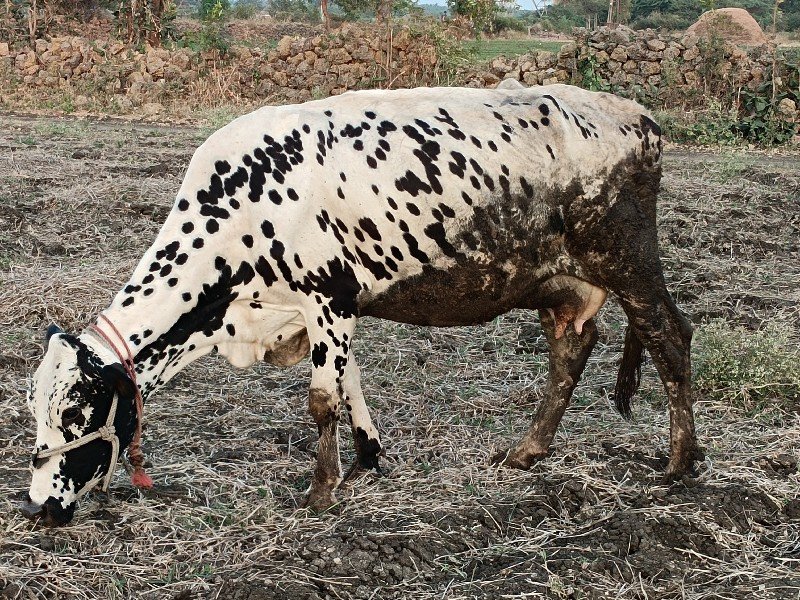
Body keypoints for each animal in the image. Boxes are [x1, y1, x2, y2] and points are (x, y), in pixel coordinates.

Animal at [21, 84, 704, 524]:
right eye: (34, 409)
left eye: (77, 412)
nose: (39, 506)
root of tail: (638, 116)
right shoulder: (329, 311)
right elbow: (348, 385)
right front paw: (369, 457)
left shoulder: (326, 297)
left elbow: (322, 400)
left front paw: (321, 491)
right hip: (563, 284)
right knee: (572, 349)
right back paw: (526, 452)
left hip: (629, 261)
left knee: (670, 336)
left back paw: (678, 463)